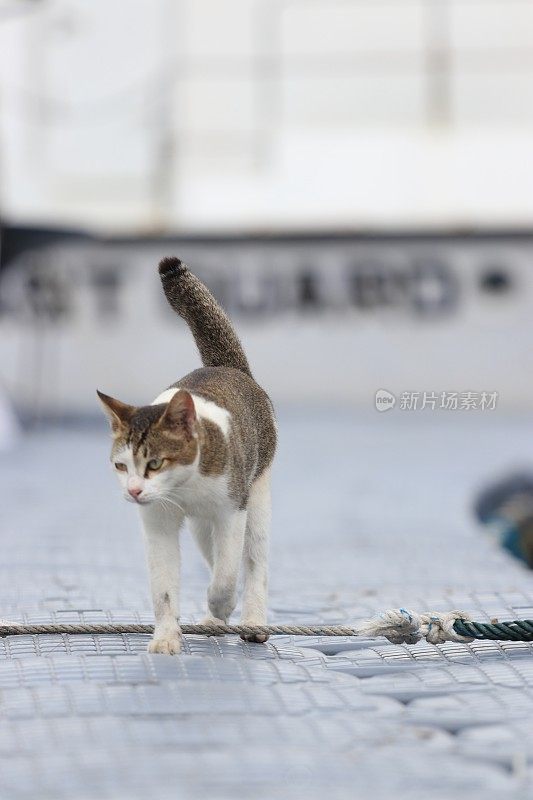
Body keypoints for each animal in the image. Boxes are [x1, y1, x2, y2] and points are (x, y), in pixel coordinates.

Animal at [97, 260, 276, 652]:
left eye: (154, 463)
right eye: (121, 465)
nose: (133, 491)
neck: (183, 488)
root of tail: (229, 367)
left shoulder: (231, 511)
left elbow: (227, 575)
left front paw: (222, 602)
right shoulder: (158, 522)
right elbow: (164, 587)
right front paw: (166, 638)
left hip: (256, 495)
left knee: (253, 563)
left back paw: (252, 620)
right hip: (199, 527)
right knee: (213, 557)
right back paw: (214, 622)